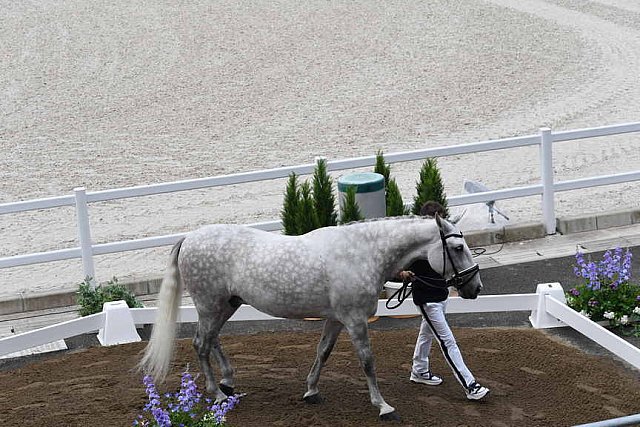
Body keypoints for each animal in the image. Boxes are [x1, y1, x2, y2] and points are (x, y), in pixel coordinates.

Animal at [140, 216, 480, 422]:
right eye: (457, 247)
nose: (475, 287)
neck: (362, 253)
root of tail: (189, 238)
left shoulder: (337, 320)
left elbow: (323, 352)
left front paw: (311, 391)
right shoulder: (355, 321)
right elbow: (367, 362)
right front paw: (383, 406)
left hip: (226, 305)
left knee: (211, 341)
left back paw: (228, 382)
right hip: (211, 305)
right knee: (201, 343)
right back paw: (218, 395)